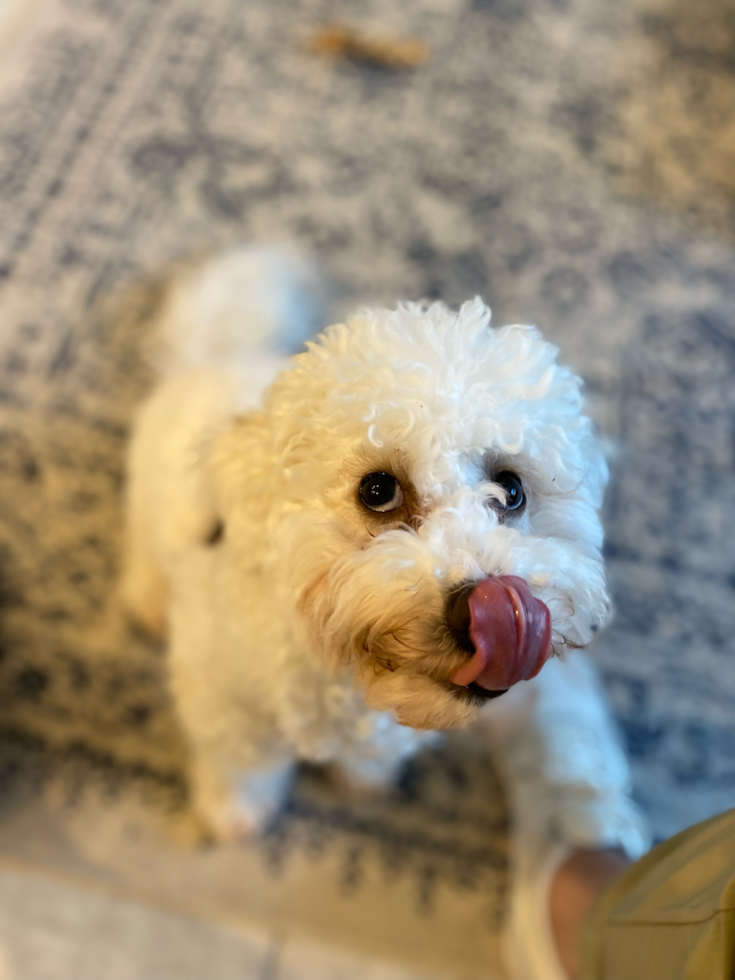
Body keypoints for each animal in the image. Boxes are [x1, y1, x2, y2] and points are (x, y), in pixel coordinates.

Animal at [123, 245, 620, 844]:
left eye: (511, 489)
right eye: (378, 490)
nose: (488, 607)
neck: (336, 667)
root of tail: (223, 351)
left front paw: (362, 779)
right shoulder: (226, 705)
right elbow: (243, 762)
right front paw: (237, 813)